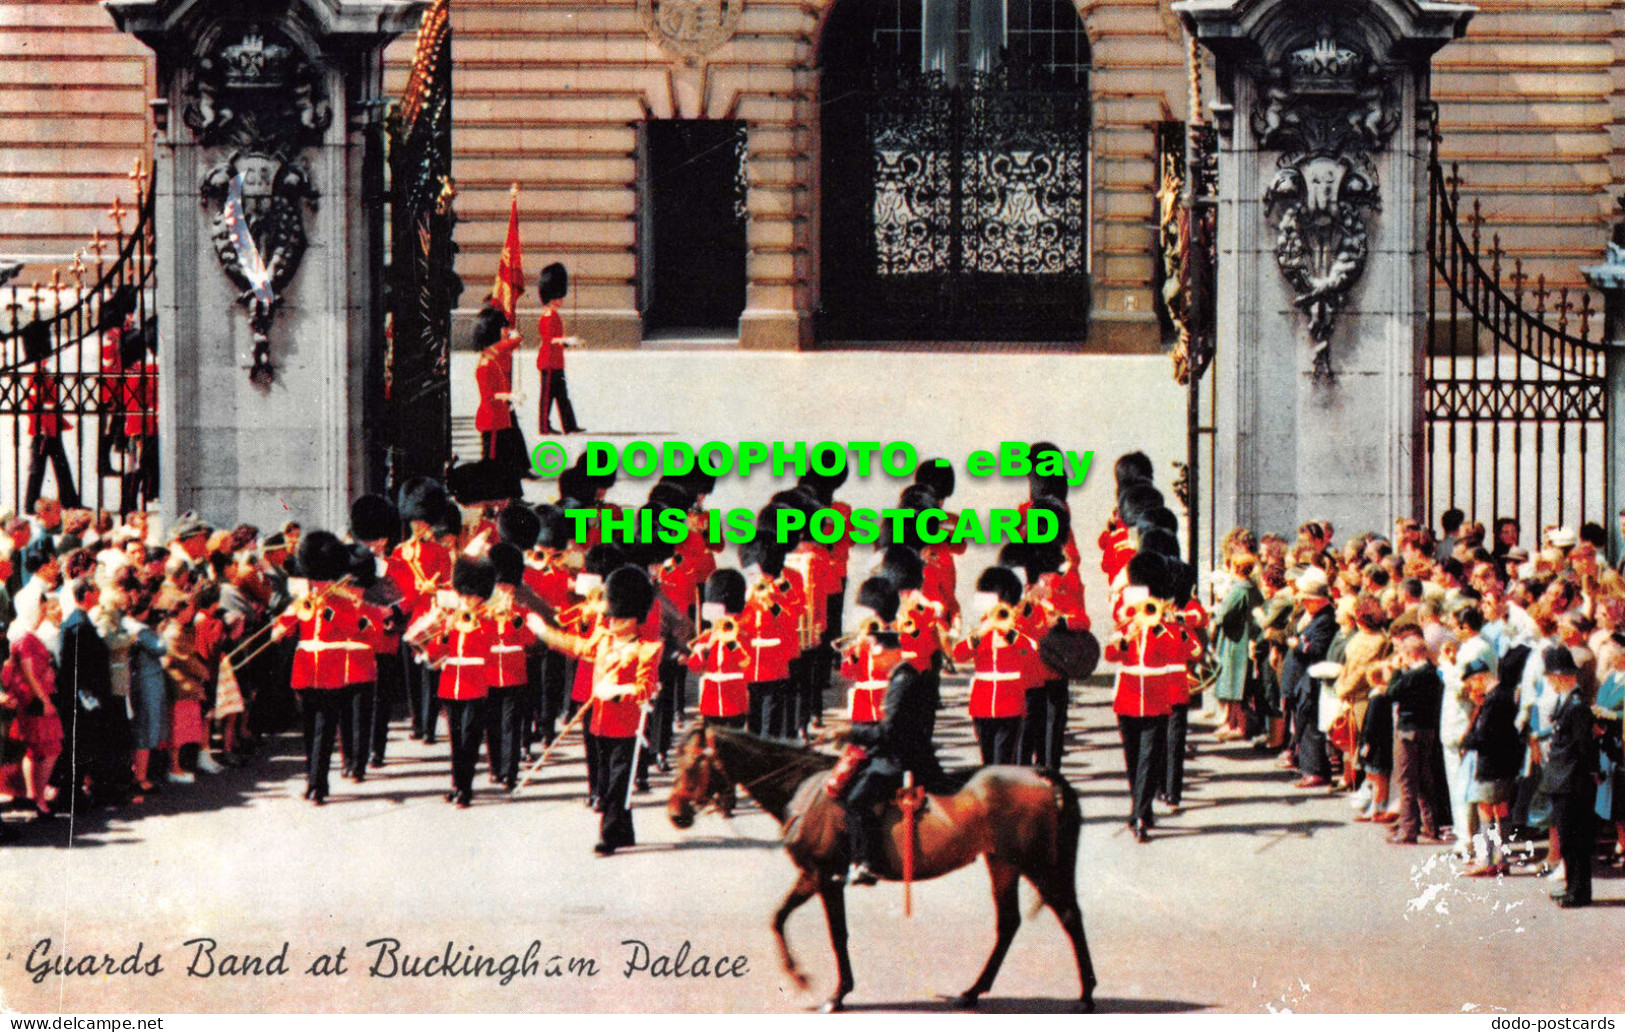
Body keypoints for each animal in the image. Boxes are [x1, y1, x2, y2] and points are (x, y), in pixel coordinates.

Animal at [666, 728, 1098, 1020]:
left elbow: (836, 934)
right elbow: (778, 917)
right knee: (1009, 923)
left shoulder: (825, 876)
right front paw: (800, 976)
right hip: (1003, 862)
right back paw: (974, 991)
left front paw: (835, 993)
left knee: (1069, 916)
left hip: (1038, 863)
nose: (675, 814)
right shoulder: (812, 876)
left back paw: (1086, 995)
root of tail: (1040, 774)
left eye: (692, 763)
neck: (805, 788)